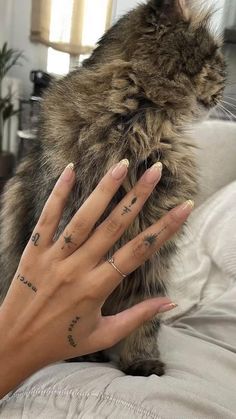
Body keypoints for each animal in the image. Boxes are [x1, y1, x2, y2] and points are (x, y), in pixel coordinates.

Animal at [0, 0, 225, 378]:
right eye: (217, 57)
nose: (227, 81)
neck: (141, 127)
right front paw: (83, 353)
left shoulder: (154, 251)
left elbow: (146, 311)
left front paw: (141, 361)